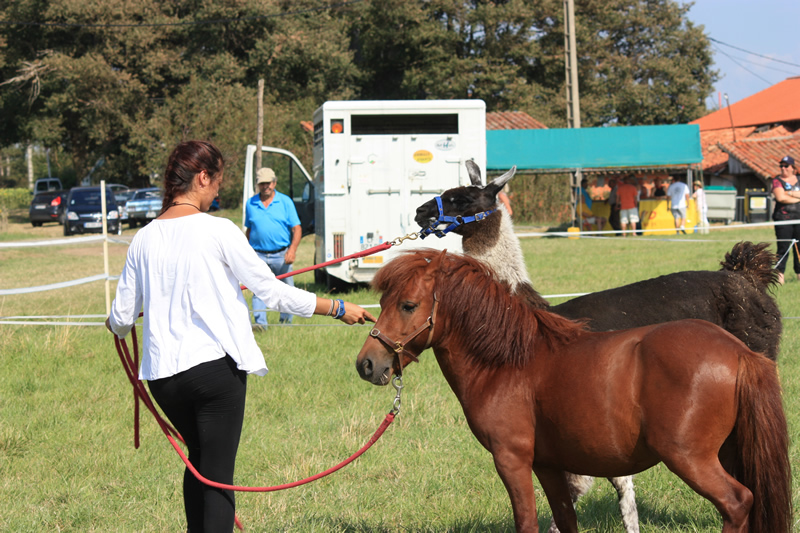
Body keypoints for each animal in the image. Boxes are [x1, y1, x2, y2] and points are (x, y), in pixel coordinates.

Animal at [358, 249, 792, 532]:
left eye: (408, 305)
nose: (367, 364)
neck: (509, 361)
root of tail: (739, 352)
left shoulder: (512, 461)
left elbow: (528, 522)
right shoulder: (549, 466)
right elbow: (566, 520)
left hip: (691, 459)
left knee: (737, 503)